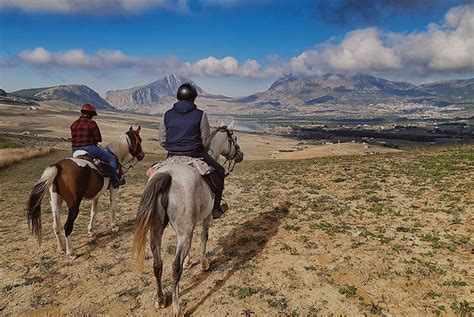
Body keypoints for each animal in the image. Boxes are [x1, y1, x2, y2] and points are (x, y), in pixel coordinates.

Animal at [25, 124, 143, 256]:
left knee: (56, 226)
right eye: (140, 140)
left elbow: (93, 212)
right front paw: (114, 226)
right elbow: (112, 207)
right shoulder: (114, 188)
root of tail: (59, 166)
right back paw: (70, 252)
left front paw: (91, 230)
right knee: (67, 226)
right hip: (73, 205)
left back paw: (61, 248)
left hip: (55, 203)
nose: (142, 155)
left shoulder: (97, 194)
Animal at [132, 120, 244, 314]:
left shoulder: (190, 225)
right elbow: (204, 237)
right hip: (183, 232)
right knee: (174, 268)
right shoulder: (205, 218)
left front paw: (188, 261)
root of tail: (167, 176)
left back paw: (160, 299)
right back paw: (176, 307)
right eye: (234, 138)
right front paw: (204, 264)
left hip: (156, 231)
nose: (241, 155)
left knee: (157, 265)